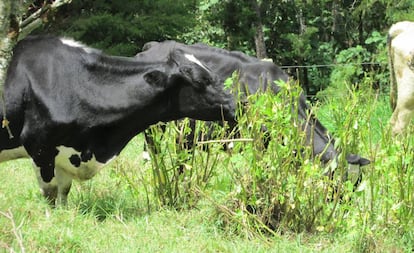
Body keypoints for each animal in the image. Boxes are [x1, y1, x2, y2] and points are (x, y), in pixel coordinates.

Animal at [0, 36, 236, 206]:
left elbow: (63, 193)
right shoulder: (39, 147)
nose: (233, 105)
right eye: (201, 81)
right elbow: (50, 195)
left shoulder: (63, 155)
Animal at [137, 39, 372, 182]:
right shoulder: (258, 137)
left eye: (357, 182)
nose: (344, 205)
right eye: (337, 177)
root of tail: (152, 46)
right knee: (154, 149)